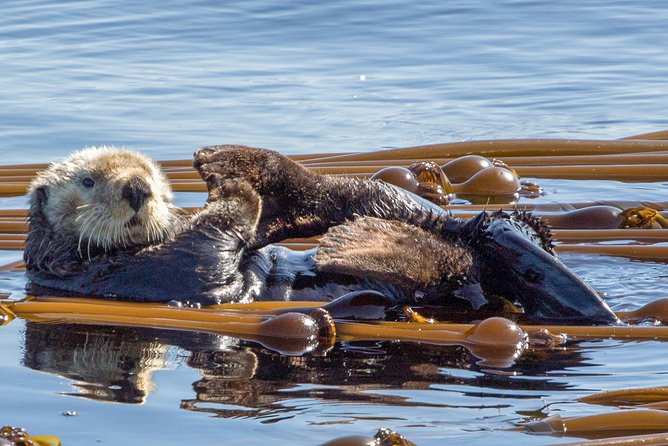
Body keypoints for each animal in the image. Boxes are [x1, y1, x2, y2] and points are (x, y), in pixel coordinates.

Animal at [24, 146, 620, 324]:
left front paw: (234, 190)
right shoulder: (141, 273)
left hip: (403, 211)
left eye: (151, 173)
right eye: (88, 180)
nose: (137, 188)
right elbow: (216, 245)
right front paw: (235, 194)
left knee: (372, 201)